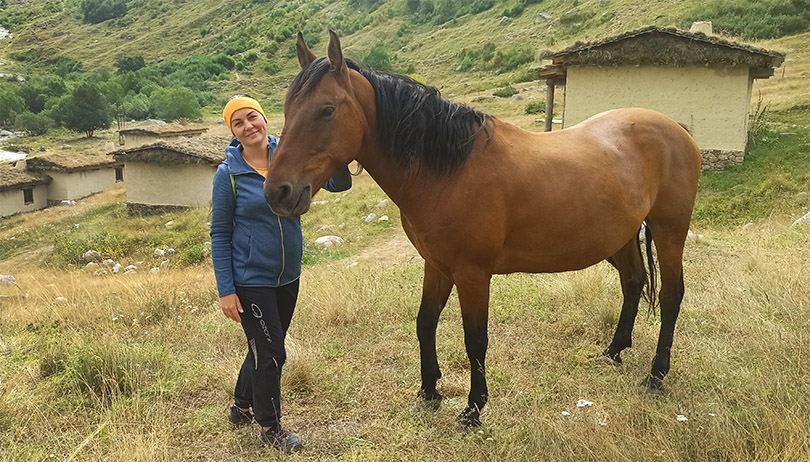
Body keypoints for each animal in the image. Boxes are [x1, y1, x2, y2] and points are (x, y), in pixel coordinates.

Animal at [265, 31, 701, 427]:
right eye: (287, 108)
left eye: (326, 110)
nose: (277, 192)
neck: (448, 170)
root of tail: (678, 129)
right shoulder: (437, 266)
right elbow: (425, 322)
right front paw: (429, 392)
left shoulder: (472, 274)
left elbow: (475, 339)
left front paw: (473, 409)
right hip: (622, 237)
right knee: (633, 282)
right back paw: (614, 351)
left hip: (669, 232)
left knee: (671, 296)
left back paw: (656, 374)